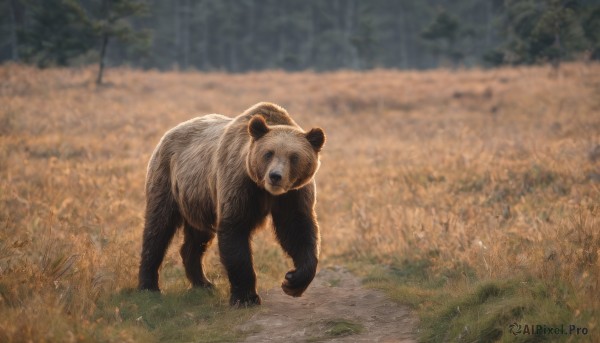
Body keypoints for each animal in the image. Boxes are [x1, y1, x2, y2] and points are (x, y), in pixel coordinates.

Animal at [138, 102, 326, 306]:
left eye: (294, 156)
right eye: (269, 153)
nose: (275, 176)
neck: (265, 191)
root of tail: (169, 132)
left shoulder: (293, 195)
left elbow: (298, 229)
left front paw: (293, 281)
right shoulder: (238, 184)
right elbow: (235, 231)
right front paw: (246, 297)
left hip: (199, 200)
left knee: (197, 239)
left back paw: (203, 283)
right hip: (169, 180)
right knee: (158, 229)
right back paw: (149, 286)